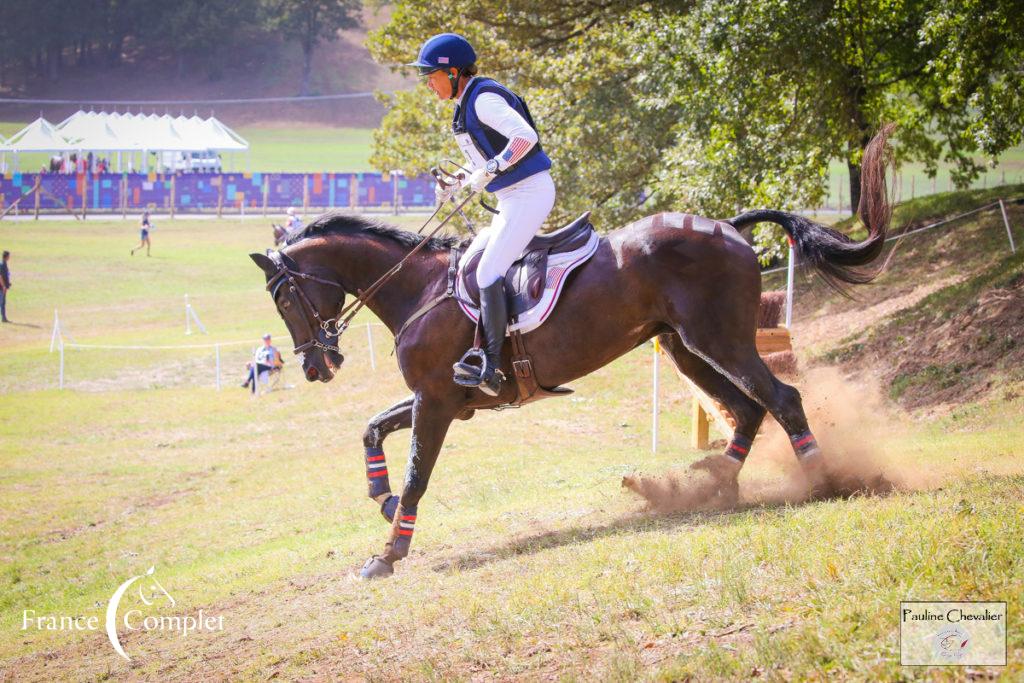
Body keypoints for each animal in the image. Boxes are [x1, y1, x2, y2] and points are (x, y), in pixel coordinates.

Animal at [249, 126, 897, 577]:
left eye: (283, 298)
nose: (315, 364)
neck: (418, 286)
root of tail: (730, 227)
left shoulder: (435, 401)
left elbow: (415, 477)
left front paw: (387, 552)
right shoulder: (444, 400)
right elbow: (372, 430)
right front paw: (380, 500)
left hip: (721, 341)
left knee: (782, 399)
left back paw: (822, 481)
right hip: (686, 347)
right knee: (748, 409)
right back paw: (709, 488)